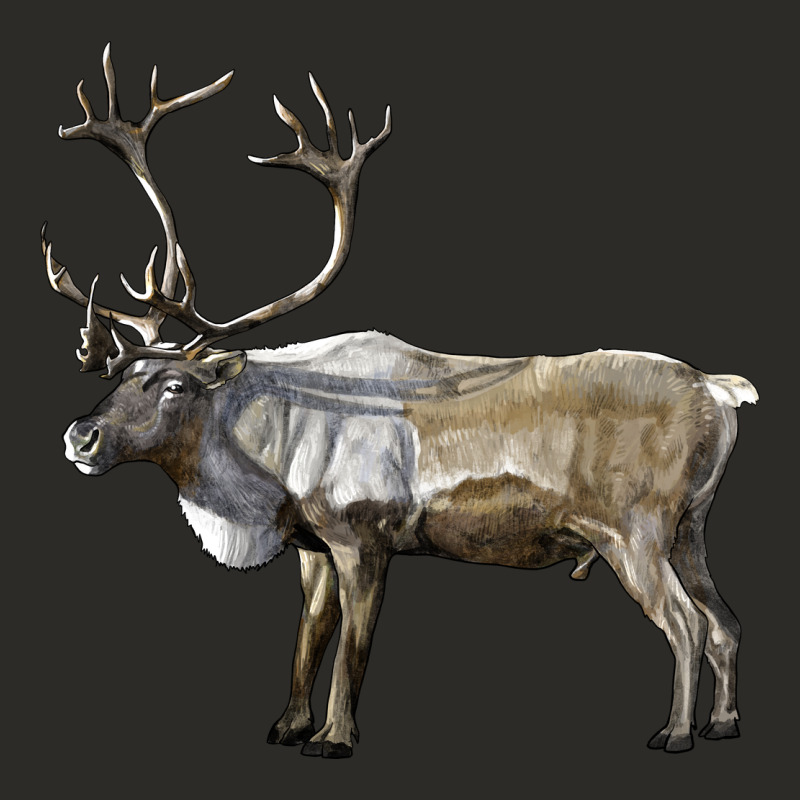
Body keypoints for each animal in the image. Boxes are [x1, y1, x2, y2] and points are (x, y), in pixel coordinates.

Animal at [44, 45, 756, 757]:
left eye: (174, 385)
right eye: (117, 376)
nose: (80, 436)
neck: (272, 457)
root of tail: (720, 391)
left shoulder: (365, 538)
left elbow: (351, 651)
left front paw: (333, 738)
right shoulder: (313, 546)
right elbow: (308, 637)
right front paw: (288, 726)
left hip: (634, 531)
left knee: (686, 625)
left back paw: (675, 733)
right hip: (690, 526)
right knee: (726, 622)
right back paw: (723, 722)